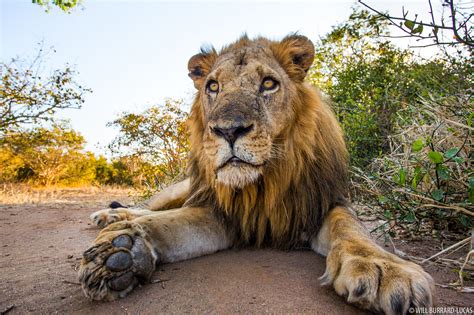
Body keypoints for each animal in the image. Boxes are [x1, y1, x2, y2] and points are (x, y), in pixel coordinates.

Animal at [78, 34, 434, 314]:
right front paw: (119, 251)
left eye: (268, 84)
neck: (264, 183)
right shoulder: (220, 212)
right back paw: (111, 216)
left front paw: (384, 270)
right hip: (183, 188)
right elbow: (166, 222)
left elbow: (351, 230)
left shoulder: (323, 203)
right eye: (213, 86)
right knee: (150, 206)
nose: (228, 130)